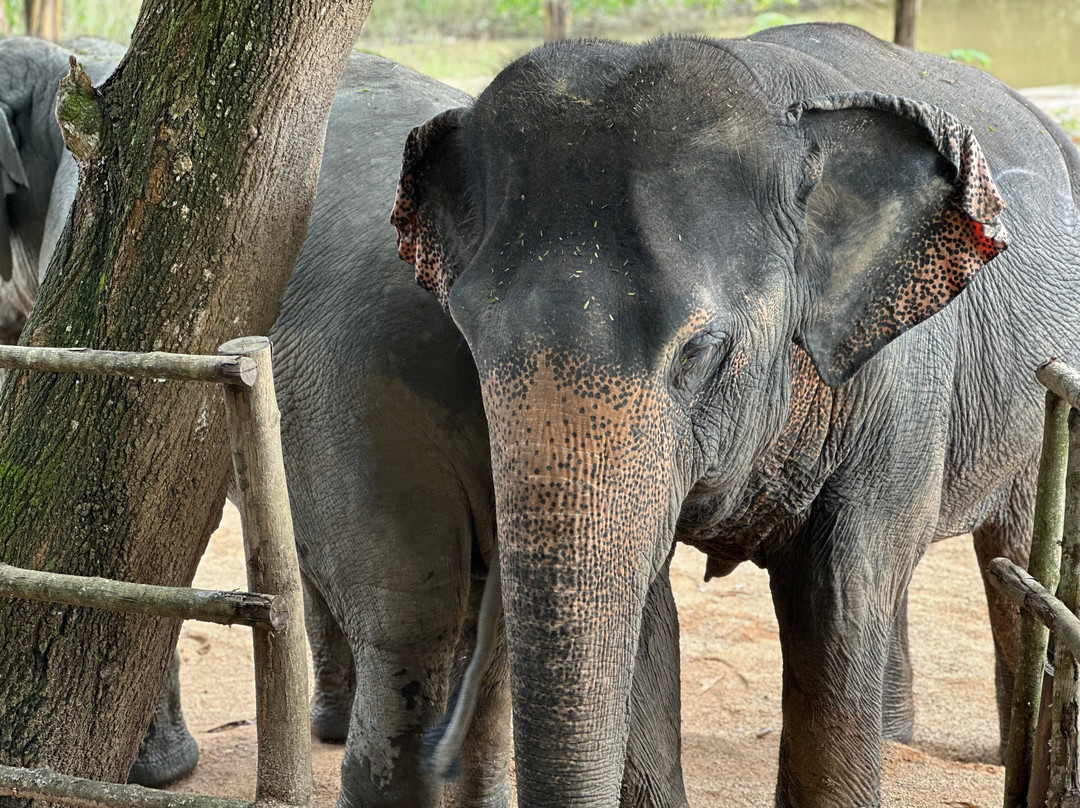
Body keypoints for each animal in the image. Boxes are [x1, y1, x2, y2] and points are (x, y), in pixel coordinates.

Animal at [393, 23, 1080, 808]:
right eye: (469, 336)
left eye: (700, 351)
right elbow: (645, 600)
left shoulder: (905, 379)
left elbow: (839, 591)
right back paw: (897, 737)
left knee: (1011, 552)